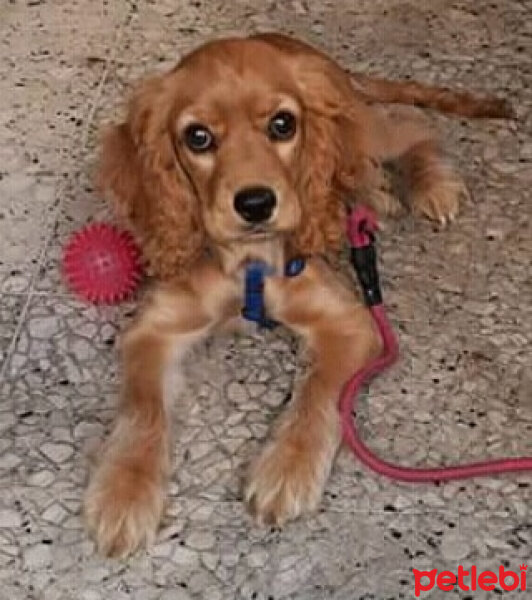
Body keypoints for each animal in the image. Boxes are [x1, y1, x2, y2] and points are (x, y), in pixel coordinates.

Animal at [84, 34, 512, 556]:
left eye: (282, 124)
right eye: (197, 137)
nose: (255, 204)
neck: (248, 264)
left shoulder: (347, 320)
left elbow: (321, 391)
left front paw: (287, 469)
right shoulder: (155, 329)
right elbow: (143, 406)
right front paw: (123, 493)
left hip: (364, 125)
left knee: (411, 126)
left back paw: (431, 186)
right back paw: (377, 193)